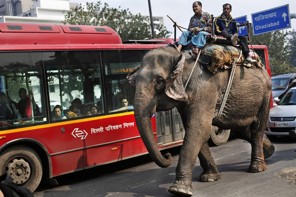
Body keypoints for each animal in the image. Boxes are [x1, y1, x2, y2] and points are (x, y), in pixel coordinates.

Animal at [127, 45, 276, 196]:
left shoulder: (205, 89)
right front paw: (210, 178)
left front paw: (179, 190)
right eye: (133, 82)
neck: (181, 57)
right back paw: (269, 151)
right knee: (242, 129)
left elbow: (198, 128)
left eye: (159, 81)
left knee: (257, 128)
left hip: (265, 95)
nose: (167, 155)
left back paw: (257, 168)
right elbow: (195, 128)